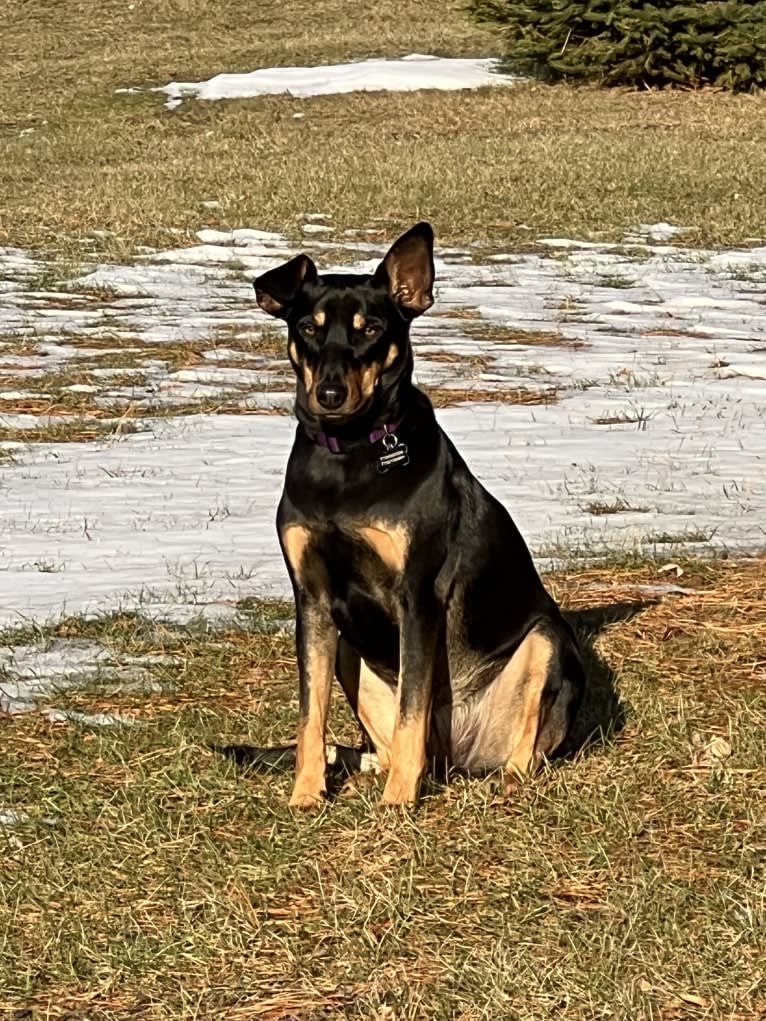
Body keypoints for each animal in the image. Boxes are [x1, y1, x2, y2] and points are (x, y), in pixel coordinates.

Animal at [255, 221, 584, 804]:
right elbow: (310, 716)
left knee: (521, 747)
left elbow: (413, 707)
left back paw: (504, 783)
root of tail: (460, 757)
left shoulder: (418, 596)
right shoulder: (312, 600)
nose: (330, 394)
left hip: (547, 640)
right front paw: (305, 796)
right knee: (388, 744)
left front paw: (398, 803)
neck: (350, 456)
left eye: (371, 329)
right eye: (309, 328)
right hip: (350, 648)